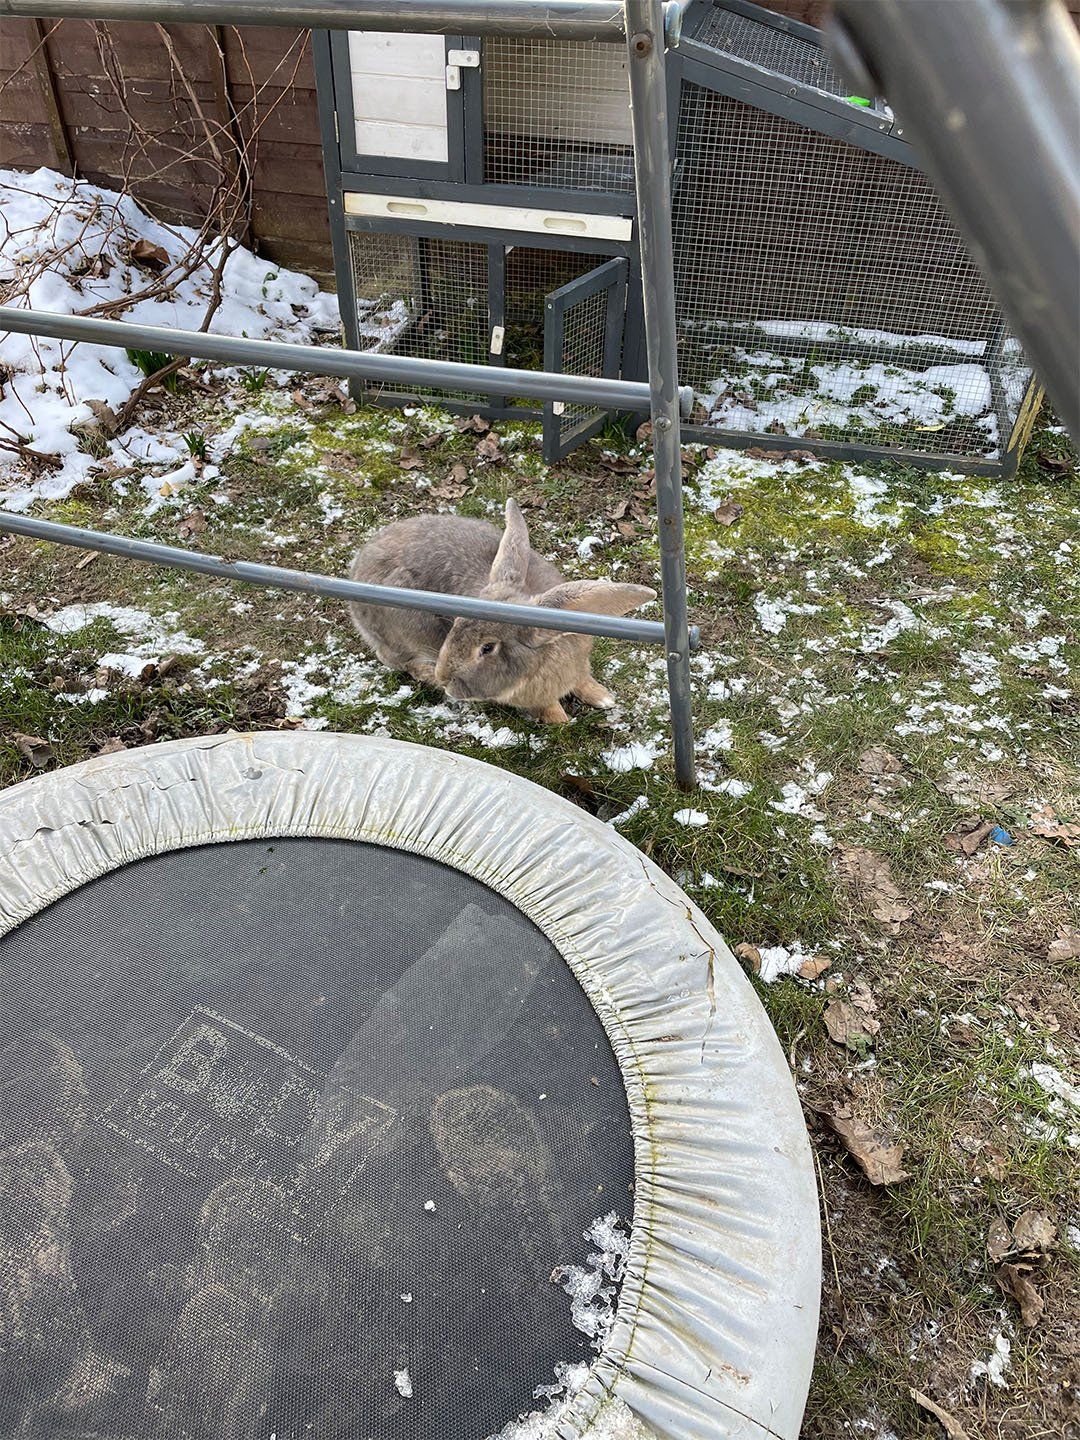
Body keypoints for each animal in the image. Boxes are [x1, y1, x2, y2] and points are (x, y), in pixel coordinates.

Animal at [347, 498, 655, 723]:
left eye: (487, 648)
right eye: (455, 623)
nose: (445, 677)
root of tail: (358, 569)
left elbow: (583, 681)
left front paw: (603, 698)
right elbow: (547, 707)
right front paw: (561, 721)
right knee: (393, 658)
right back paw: (426, 673)